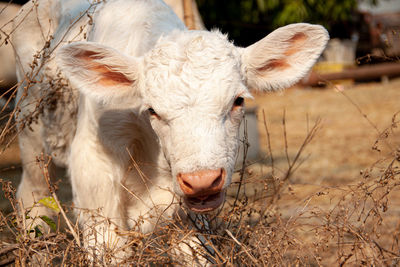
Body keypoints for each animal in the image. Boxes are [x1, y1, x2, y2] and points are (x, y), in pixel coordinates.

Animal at [14, 0, 330, 260]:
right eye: (153, 109)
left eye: (238, 101)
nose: (202, 180)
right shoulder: (93, 175)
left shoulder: (186, 220)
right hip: (32, 140)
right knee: (33, 201)